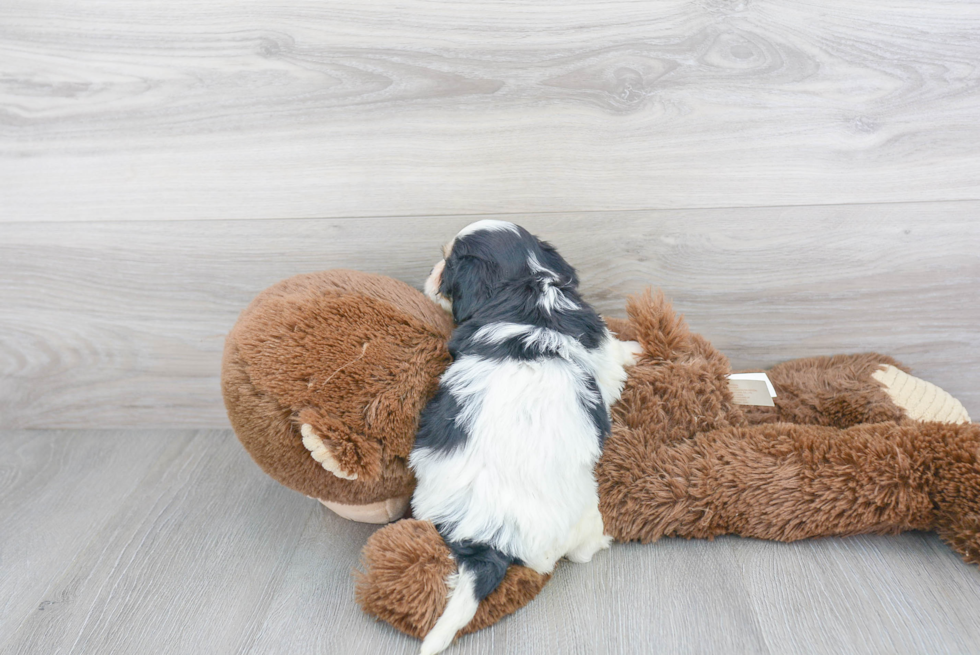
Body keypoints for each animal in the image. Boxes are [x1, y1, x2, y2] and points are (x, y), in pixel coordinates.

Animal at [410, 222, 640, 655]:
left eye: (448, 263)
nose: (430, 272)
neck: (525, 286)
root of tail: (488, 540)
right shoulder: (602, 354)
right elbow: (616, 359)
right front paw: (636, 348)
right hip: (583, 513)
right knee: (581, 553)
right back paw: (606, 539)